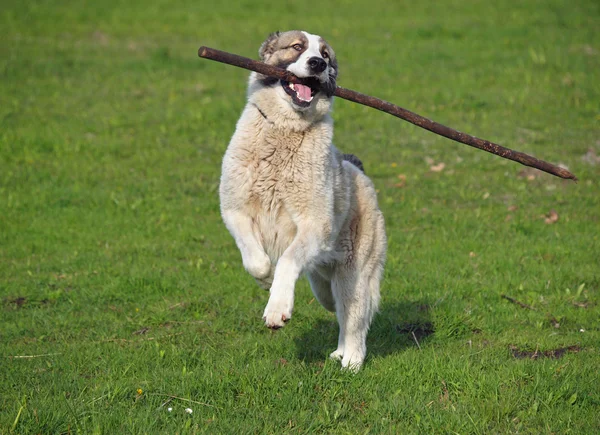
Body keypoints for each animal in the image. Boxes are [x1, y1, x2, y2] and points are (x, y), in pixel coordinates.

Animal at [218, 31, 386, 372]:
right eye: (297, 47)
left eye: (325, 54)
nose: (318, 63)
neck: (285, 129)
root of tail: (357, 169)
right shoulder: (235, 210)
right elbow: (255, 260)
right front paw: (266, 280)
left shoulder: (314, 225)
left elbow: (287, 261)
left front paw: (277, 307)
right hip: (321, 281)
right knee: (336, 306)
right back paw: (339, 352)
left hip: (353, 272)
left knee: (354, 316)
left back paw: (351, 360)